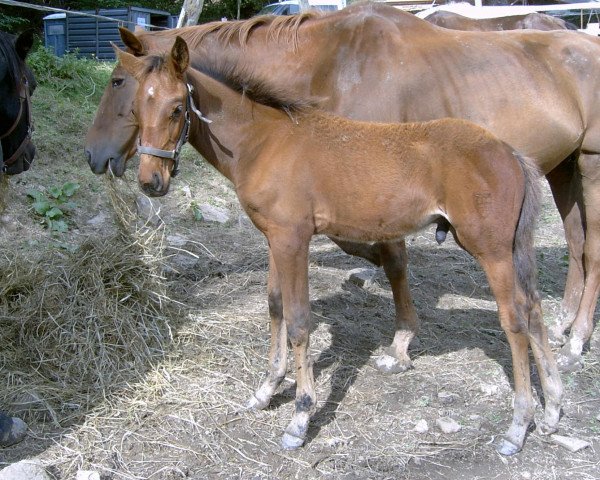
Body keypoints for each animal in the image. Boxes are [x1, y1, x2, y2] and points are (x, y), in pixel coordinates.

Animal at [85, 1, 600, 374]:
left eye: (117, 81)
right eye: (129, 89)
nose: (94, 155)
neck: (333, 62)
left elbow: (390, 258)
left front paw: (401, 340)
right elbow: (364, 251)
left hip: (590, 168)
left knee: (591, 249)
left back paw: (577, 338)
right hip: (562, 170)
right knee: (574, 242)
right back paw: (561, 324)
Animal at [116, 35, 564, 456]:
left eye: (177, 108)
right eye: (135, 107)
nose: (150, 181)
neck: (263, 142)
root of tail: (510, 152)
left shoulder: (293, 240)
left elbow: (299, 320)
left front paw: (299, 418)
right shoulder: (274, 238)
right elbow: (275, 307)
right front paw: (265, 390)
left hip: (491, 251)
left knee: (515, 320)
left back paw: (519, 424)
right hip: (511, 250)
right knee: (534, 307)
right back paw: (553, 409)